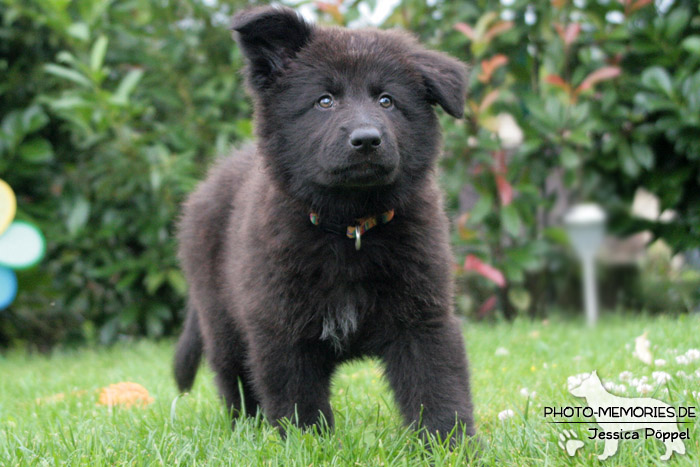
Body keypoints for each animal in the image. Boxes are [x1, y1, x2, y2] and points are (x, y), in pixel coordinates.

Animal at [176, 4, 476, 442]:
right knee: (235, 381)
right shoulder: (280, 326)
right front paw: (307, 445)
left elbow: (437, 385)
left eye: (387, 100)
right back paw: (246, 430)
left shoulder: (424, 317)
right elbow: (296, 398)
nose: (366, 140)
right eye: (324, 100)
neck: (350, 227)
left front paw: (450, 444)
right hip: (221, 320)